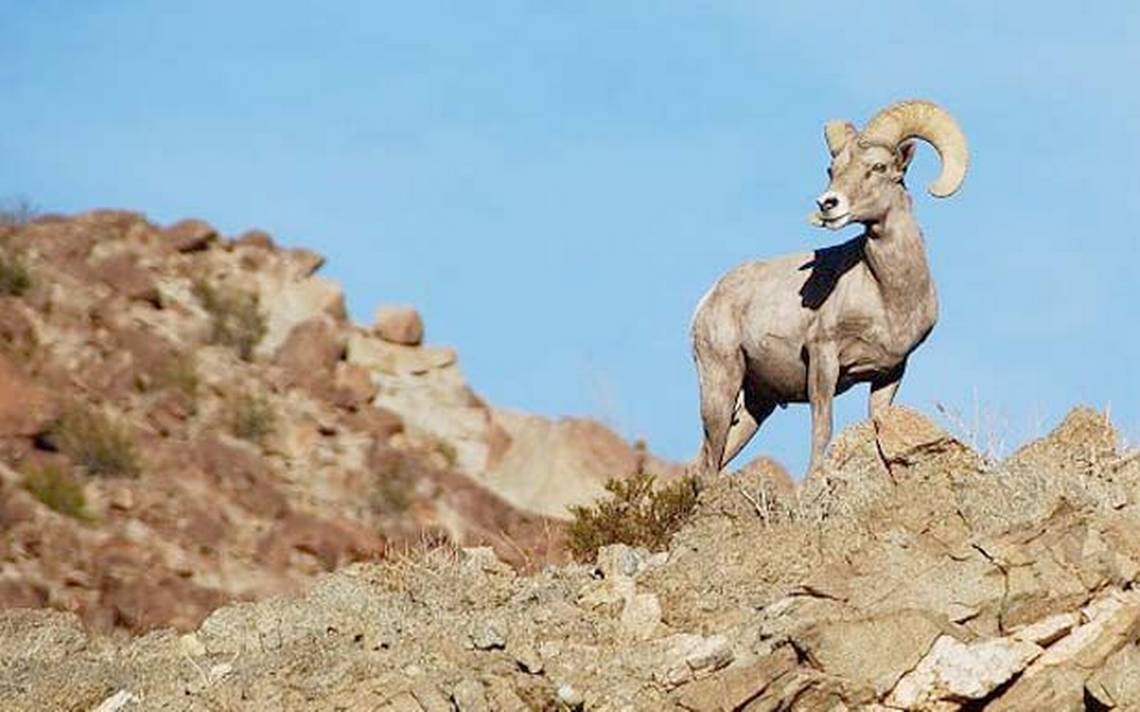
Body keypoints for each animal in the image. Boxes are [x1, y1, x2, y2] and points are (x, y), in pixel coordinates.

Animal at [688, 100, 966, 473]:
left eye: (878, 166)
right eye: (832, 169)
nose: (828, 204)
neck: (888, 294)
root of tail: (709, 299)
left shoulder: (890, 373)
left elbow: (878, 426)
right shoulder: (824, 359)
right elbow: (823, 431)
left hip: (754, 406)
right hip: (721, 385)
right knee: (707, 461)